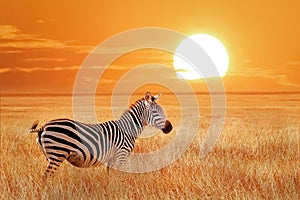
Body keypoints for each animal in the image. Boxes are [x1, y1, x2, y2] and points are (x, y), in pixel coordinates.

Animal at [29, 93, 173, 180]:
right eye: (155, 112)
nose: (170, 127)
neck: (127, 130)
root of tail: (44, 126)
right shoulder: (121, 155)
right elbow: (117, 177)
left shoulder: (112, 157)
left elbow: (109, 177)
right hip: (57, 154)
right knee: (45, 177)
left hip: (51, 156)